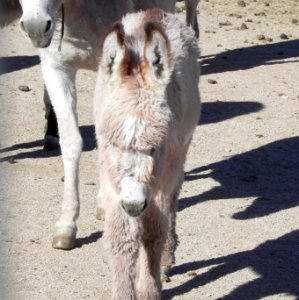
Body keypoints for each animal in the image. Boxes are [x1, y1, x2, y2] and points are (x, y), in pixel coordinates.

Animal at [95, 8, 200, 298]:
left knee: (173, 203)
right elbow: (121, 238)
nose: (133, 205)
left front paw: (149, 290)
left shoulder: (161, 176)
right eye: (115, 143)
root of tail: (155, 12)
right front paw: (123, 293)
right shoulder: (111, 178)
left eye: (155, 146)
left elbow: (153, 233)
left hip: (180, 155)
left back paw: (167, 258)